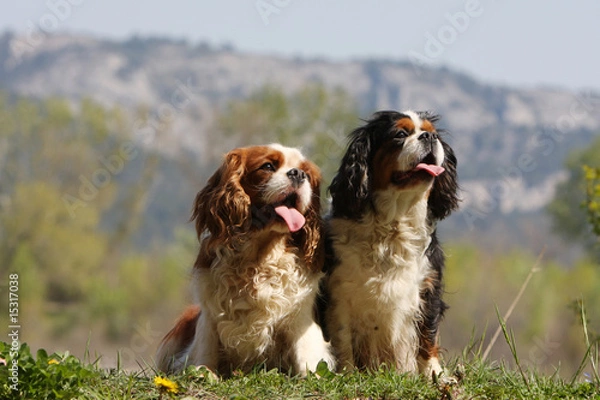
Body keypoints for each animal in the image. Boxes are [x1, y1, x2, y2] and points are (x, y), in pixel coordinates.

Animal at [157, 145, 336, 376]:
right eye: (267, 166)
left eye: (307, 173)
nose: (298, 174)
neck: (260, 256)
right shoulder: (209, 314)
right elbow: (206, 347)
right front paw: (204, 372)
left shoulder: (301, 316)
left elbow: (307, 354)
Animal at [324, 110, 460, 378]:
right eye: (400, 134)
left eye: (433, 133)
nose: (428, 137)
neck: (394, 222)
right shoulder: (338, 294)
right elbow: (342, 338)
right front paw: (347, 373)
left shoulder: (428, 287)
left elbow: (428, 335)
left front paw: (433, 374)